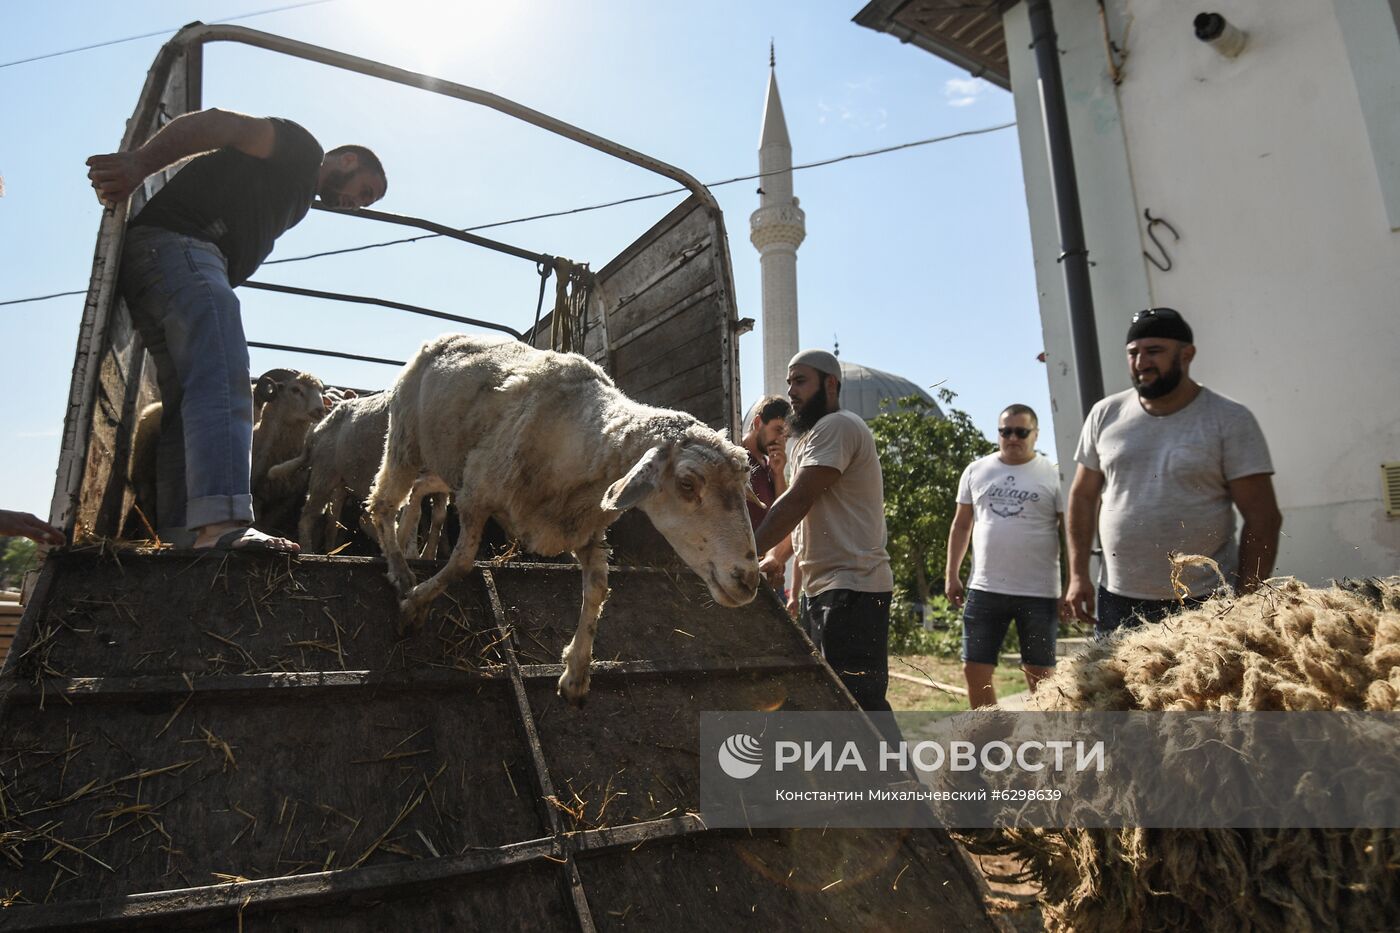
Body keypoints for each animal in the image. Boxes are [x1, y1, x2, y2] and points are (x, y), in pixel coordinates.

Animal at [361, 332, 756, 697]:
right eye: (688, 484)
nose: (748, 581)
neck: (578, 437)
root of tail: (443, 337)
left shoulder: (585, 528)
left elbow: (597, 588)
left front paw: (576, 671)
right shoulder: (476, 493)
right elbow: (461, 563)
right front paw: (413, 606)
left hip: (447, 460)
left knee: (419, 489)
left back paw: (409, 543)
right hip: (405, 437)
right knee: (382, 501)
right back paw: (399, 568)